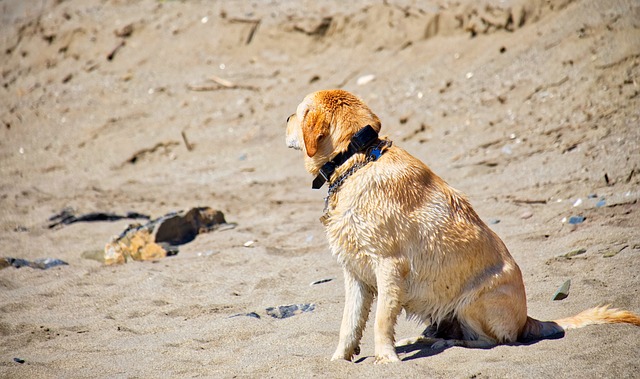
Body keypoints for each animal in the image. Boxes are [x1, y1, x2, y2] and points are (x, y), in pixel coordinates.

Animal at [286, 90, 640, 366]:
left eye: (299, 111)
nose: (285, 117)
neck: (355, 159)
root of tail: (527, 319)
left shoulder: (389, 267)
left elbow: (381, 320)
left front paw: (385, 358)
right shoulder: (356, 274)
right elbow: (350, 323)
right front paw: (340, 359)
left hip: (473, 303)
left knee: (492, 341)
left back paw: (447, 342)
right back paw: (421, 340)